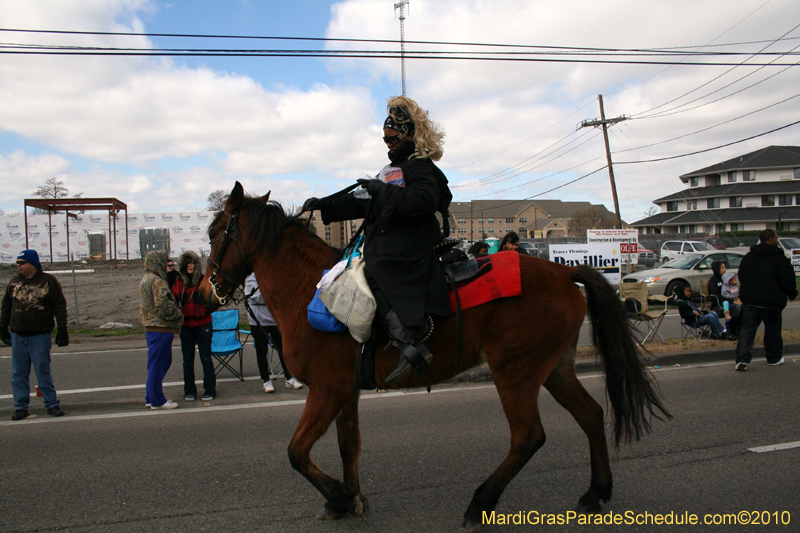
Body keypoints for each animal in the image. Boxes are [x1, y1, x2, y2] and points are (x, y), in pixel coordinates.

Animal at [198, 182, 668, 528]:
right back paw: (596, 492)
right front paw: (349, 499)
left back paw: (480, 503)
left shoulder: (326, 390)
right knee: (590, 415)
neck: (308, 289)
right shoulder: (344, 391)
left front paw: (341, 495)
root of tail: (564, 272)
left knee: (528, 436)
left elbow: (297, 452)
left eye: (215, 234)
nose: (205, 292)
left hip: (515, 371)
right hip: (553, 369)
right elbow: (348, 446)